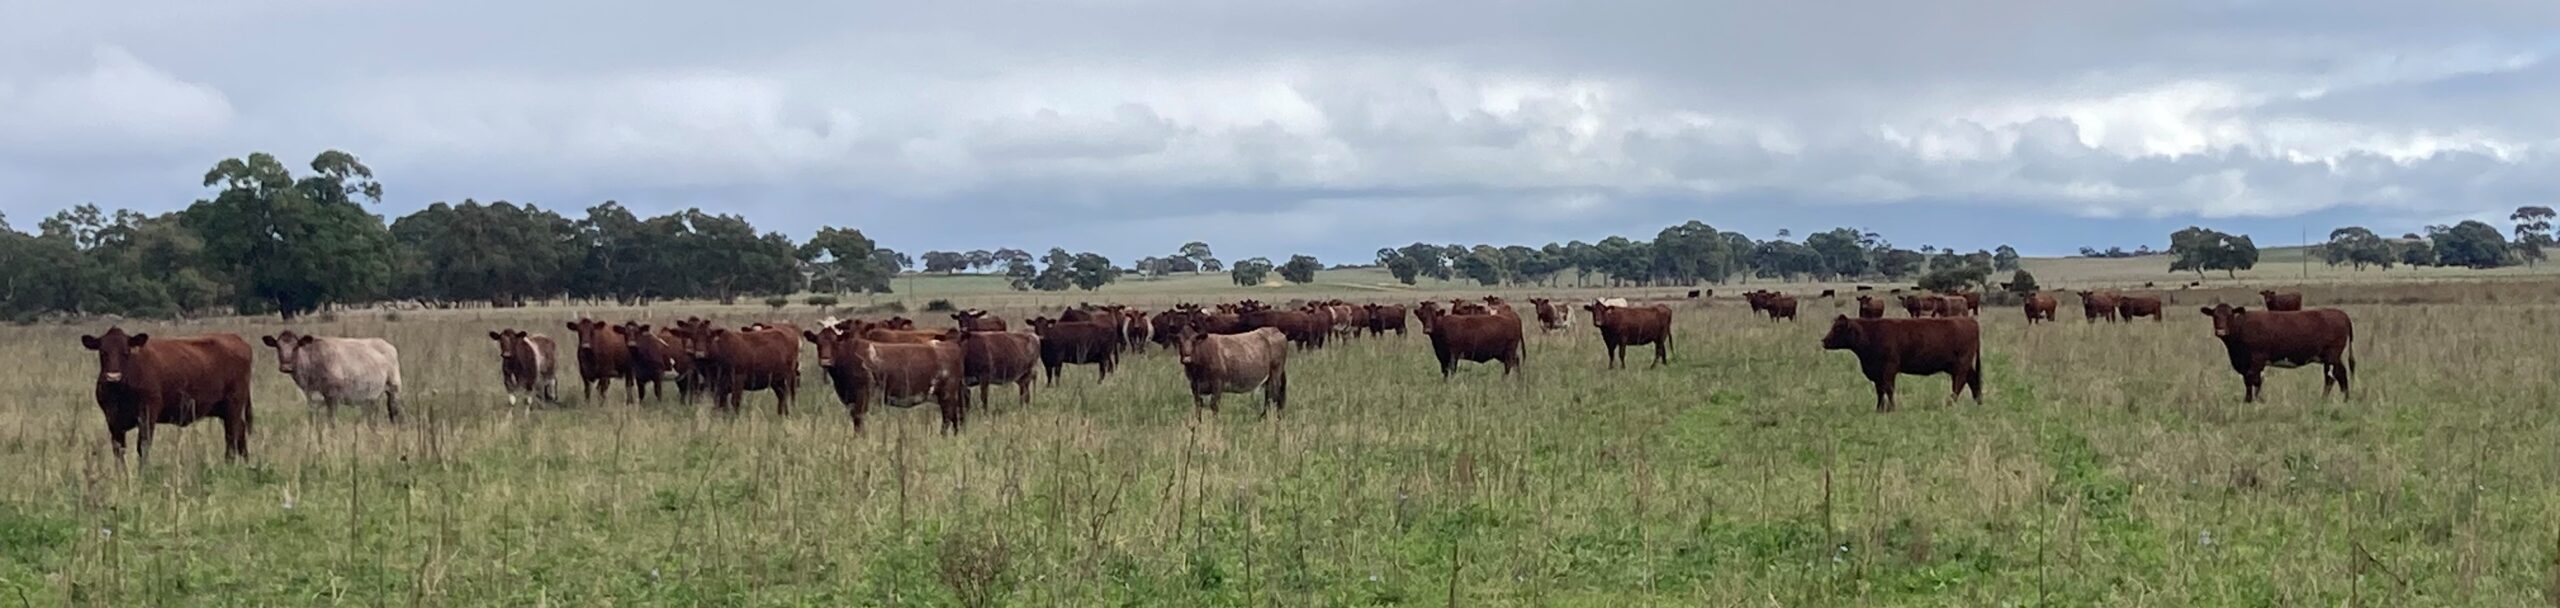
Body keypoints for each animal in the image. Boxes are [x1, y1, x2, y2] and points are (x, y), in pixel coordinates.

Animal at [82, 328, 254, 464]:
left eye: (126, 352)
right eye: (103, 352)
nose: (113, 377)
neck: (120, 393)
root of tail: (235, 338)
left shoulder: (147, 414)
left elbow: (143, 446)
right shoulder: (112, 420)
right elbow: (119, 451)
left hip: (234, 404)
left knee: (231, 437)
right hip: (225, 409)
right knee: (240, 430)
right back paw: (246, 464)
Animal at [262, 330, 402, 422]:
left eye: (296, 347)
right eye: (278, 347)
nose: (286, 367)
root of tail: (387, 344)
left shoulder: (332, 397)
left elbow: (331, 421)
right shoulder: (311, 398)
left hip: (394, 388)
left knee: (394, 411)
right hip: (372, 396)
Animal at [816, 329, 968, 432]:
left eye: (835, 342)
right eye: (818, 343)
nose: (825, 360)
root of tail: (951, 345)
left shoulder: (863, 395)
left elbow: (859, 419)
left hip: (947, 395)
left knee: (948, 417)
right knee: (954, 418)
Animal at [1818, 316, 1983, 412]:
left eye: (1838, 328)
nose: (1824, 341)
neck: (1871, 334)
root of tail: (1969, 320)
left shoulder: (1889, 369)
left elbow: (1889, 388)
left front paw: (1892, 409)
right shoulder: (1877, 372)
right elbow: (1880, 390)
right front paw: (1879, 409)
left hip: (1961, 364)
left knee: (1959, 382)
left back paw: (1950, 403)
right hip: (1961, 365)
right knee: (1972, 380)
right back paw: (1977, 402)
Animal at [2199, 304, 2356, 403]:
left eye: (2230, 315)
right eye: (2214, 316)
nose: (2221, 331)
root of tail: (2342, 314)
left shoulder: (2257, 359)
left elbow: (2254, 379)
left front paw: (2255, 400)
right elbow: (2249, 380)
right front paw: (2249, 400)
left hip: (2332, 356)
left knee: (2332, 376)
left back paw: (2328, 399)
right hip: (2333, 357)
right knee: (2340, 374)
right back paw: (2344, 397)